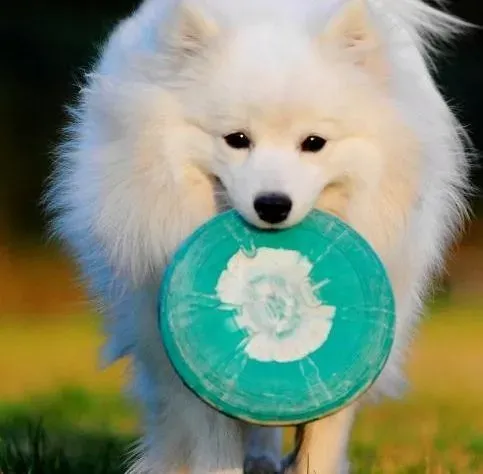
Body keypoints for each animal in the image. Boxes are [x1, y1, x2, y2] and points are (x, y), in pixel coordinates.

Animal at [47, 0, 470, 472]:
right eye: (237, 139)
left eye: (314, 142)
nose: (272, 205)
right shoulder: (174, 348)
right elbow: (211, 430)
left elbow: (322, 433)